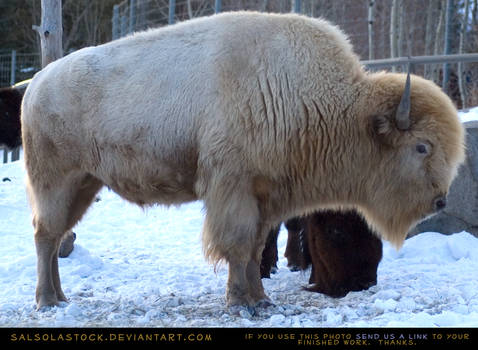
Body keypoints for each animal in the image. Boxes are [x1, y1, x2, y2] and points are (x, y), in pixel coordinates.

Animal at [20, 12, 464, 310]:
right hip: (56, 181)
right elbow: (236, 245)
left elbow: (254, 249)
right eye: (422, 147)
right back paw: (47, 301)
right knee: (45, 236)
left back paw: (60, 296)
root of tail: (36, 84)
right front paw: (239, 303)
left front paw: (261, 300)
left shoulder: (266, 198)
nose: (440, 200)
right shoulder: (233, 190)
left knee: (56, 236)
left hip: (84, 183)